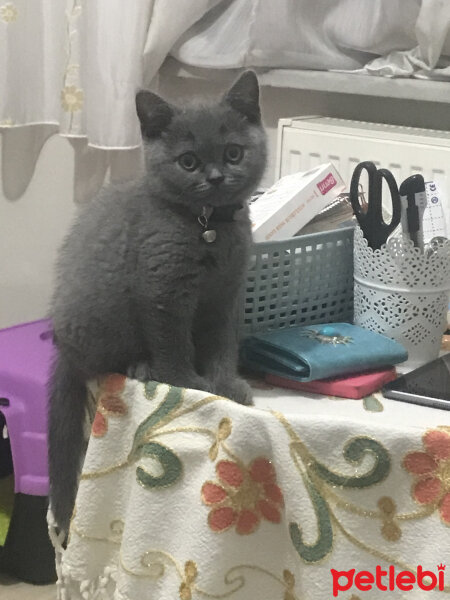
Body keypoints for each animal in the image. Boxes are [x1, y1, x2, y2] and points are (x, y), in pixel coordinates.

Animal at [48, 71, 268, 536]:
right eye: (188, 161)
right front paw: (190, 382)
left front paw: (227, 384)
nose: (216, 177)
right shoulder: (164, 291)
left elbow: (222, 344)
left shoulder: (225, 296)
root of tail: (61, 349)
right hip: (102, 314)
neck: (208, 229)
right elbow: (173, 343)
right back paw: (140, 366)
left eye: (233, 152)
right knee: (106, 362)